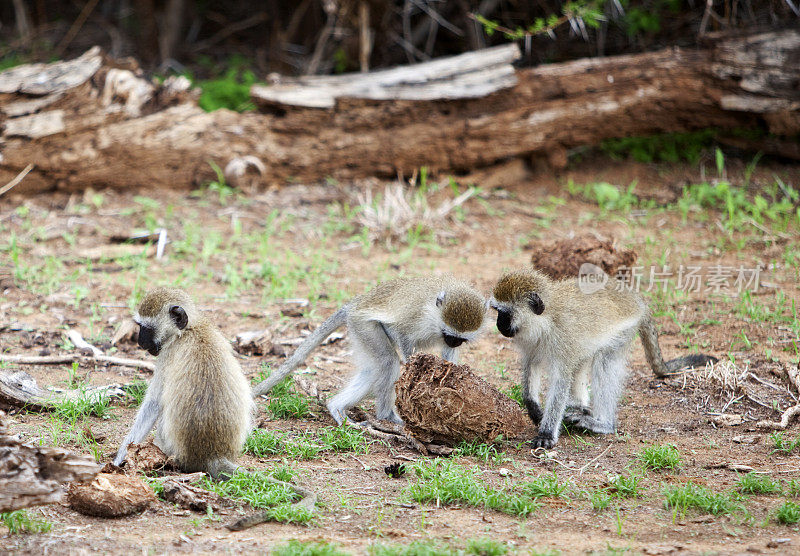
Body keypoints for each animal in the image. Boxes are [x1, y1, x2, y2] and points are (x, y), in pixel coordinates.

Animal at [112, 286, 253, 478]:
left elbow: (153, 404)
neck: (189, 330)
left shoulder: (166, 354)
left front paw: (119, 458)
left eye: (145, 328)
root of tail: (212, 455)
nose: (140, 342)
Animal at [252, 274, 488, 426]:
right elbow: (400, 334)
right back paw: (387, 416)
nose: (454, 342)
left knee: (374, 370)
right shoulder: (414, 317)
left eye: (459, 339)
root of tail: (355, 304)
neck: (434, 313)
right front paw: (415, 367)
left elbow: (447, 356)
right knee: (388, 362)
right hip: (363, 326)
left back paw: (335, 407)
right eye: (449, 334)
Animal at [490, 268, 716, 448]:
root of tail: (637, 300)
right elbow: (532, 365)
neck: (546, 321)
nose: (499, 325)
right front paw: (534, 407)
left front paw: (546, 433)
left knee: (605, 362)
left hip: (624, 331)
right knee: (582, 361)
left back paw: (604, 424)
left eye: (505, 314)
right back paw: (579, 406)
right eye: (497, 311)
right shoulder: (531, 343)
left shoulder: (563, 339)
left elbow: (560, 382)